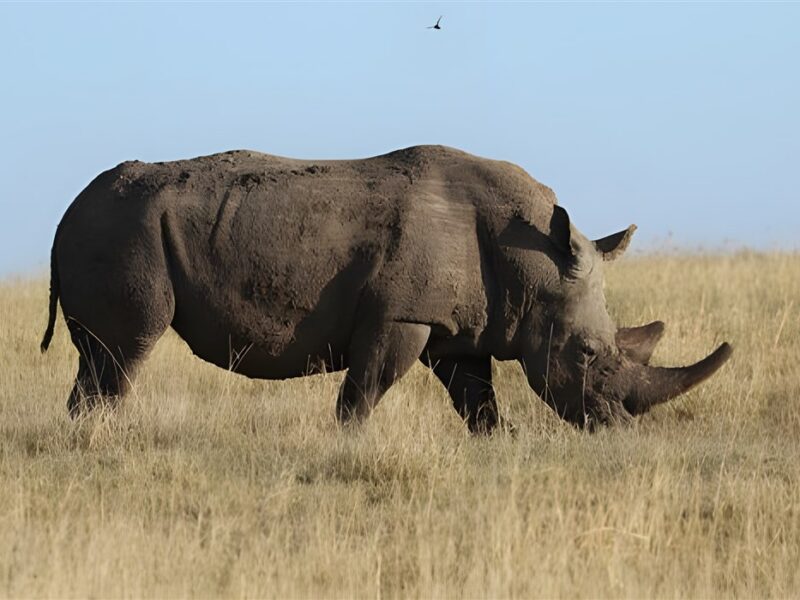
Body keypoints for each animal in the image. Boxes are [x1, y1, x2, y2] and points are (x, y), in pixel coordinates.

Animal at [40, 145, 731, 432]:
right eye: (587, 354)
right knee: (125, 351)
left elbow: (476, 398)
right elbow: (365, 390)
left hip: (111, 228)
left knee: (98, 361)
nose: (617, 427)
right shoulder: (403, 315)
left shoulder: (458, 327)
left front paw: (498, 442)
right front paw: (347, 445)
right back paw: (105, 441)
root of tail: (64, 213)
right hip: (121, 232)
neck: (530, 260)